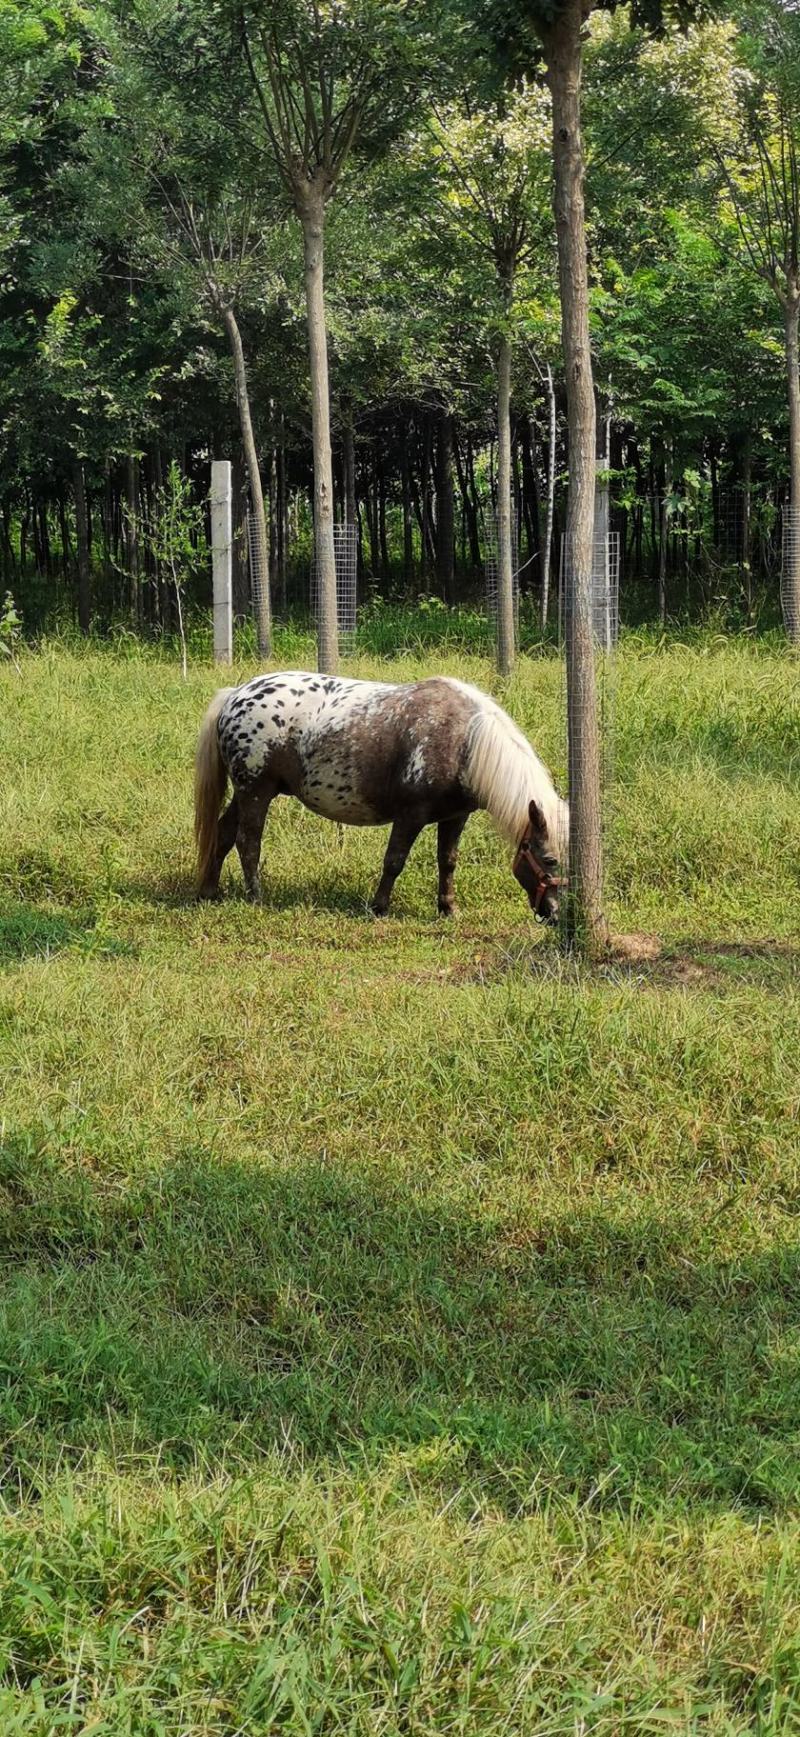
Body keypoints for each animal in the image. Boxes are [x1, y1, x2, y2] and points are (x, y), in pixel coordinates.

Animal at [194, 671, 569, 922]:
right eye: (550, 860)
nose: (554, 914)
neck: (463, 740)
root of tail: (235, 694)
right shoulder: (410, 816)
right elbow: (394, 861)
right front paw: (379, 906)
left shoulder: (455, 817)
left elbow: (447, 861)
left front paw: (448, 908)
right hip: (255, 792)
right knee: (247, 842)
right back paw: (255, 897)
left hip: (245, 794)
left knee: (223, 834)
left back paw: (210, 892)